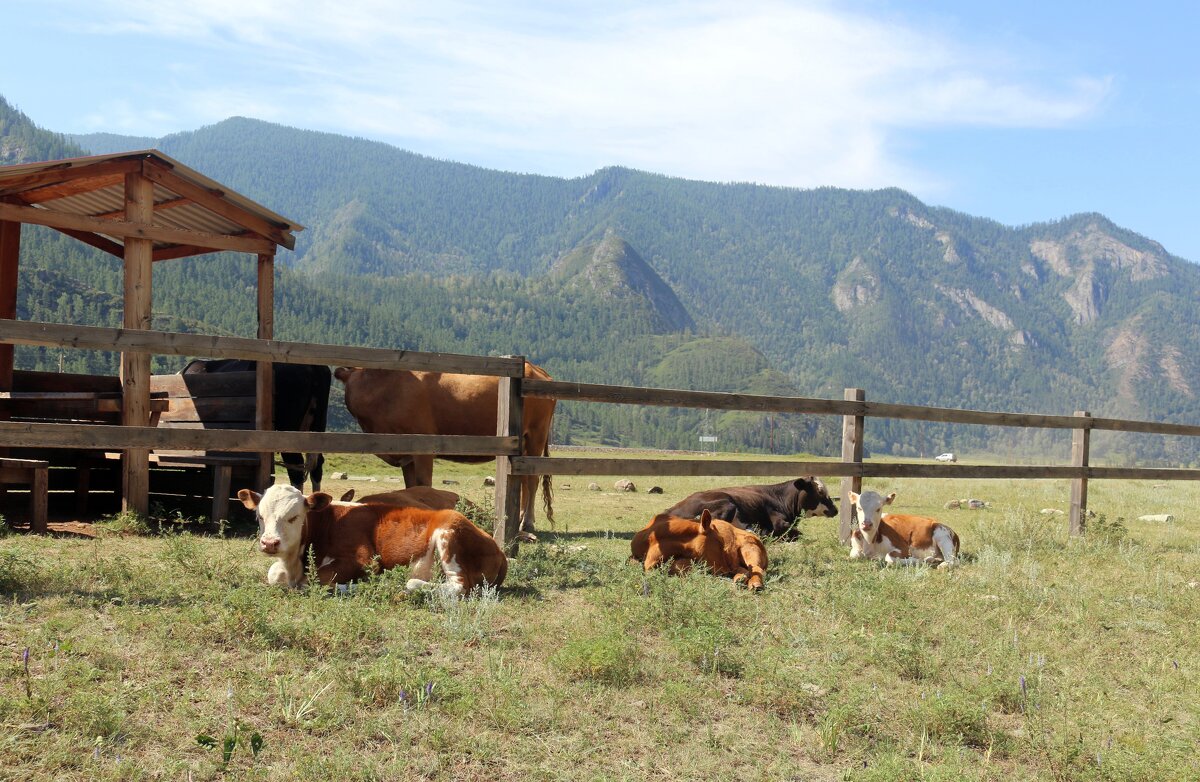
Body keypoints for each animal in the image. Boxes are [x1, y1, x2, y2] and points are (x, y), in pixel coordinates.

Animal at [238, 482, 506, 592]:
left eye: (294, 517)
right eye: (260, 516)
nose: (270, 543)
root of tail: (499, 550)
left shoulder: (365, 560)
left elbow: (310, 580)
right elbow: (275, 574)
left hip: (449, 532)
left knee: (458, 587)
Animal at [336, 362, 554, 537]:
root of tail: (535, 368)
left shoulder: (423, 447)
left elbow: (423, 483)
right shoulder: (406, 455)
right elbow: (410, 486)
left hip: (536, 435)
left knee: (532, 480)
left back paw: (527, 521)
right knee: (524, 479)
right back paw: (520, 518)